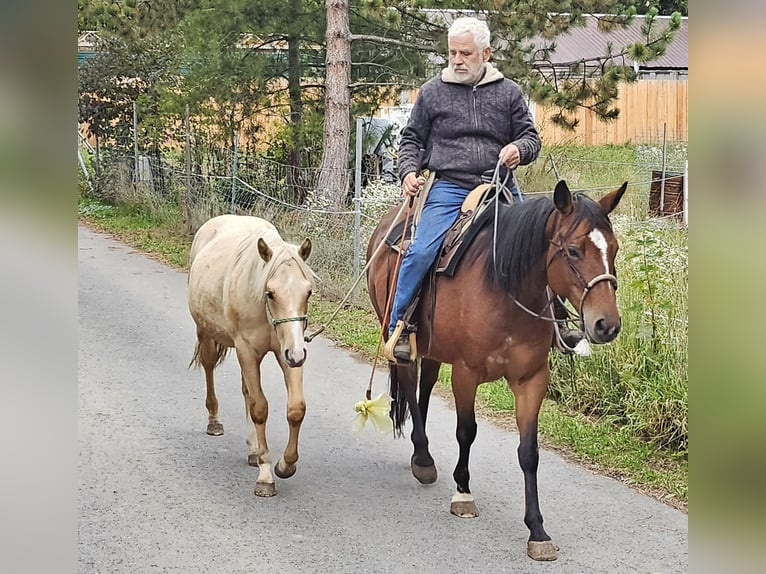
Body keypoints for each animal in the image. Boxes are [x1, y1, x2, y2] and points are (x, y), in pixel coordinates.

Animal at [187, 214, 314, 497]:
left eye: (308, 292)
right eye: (271, 293)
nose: (297, 354)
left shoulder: (287, 352)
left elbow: (295, 408)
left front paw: (285, 464)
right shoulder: (246, 349)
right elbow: (259, 409)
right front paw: (266, 476)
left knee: (247, 390)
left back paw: (253, 449)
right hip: (206, 332)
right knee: (210, 368)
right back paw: (214, 421)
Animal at [366, 180, 627, 560]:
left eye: (615, 249)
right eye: (573, 251)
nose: (606, 325)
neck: (507, 287)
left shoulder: (532, 380)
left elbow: (529, 453)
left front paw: (537, 530)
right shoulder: (466, 372)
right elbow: (466, 432)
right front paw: (463, 493)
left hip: (432, 346)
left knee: (425, 385)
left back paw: (419, 454)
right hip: (399, 338)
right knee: (410, 382)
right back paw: (424, 457)